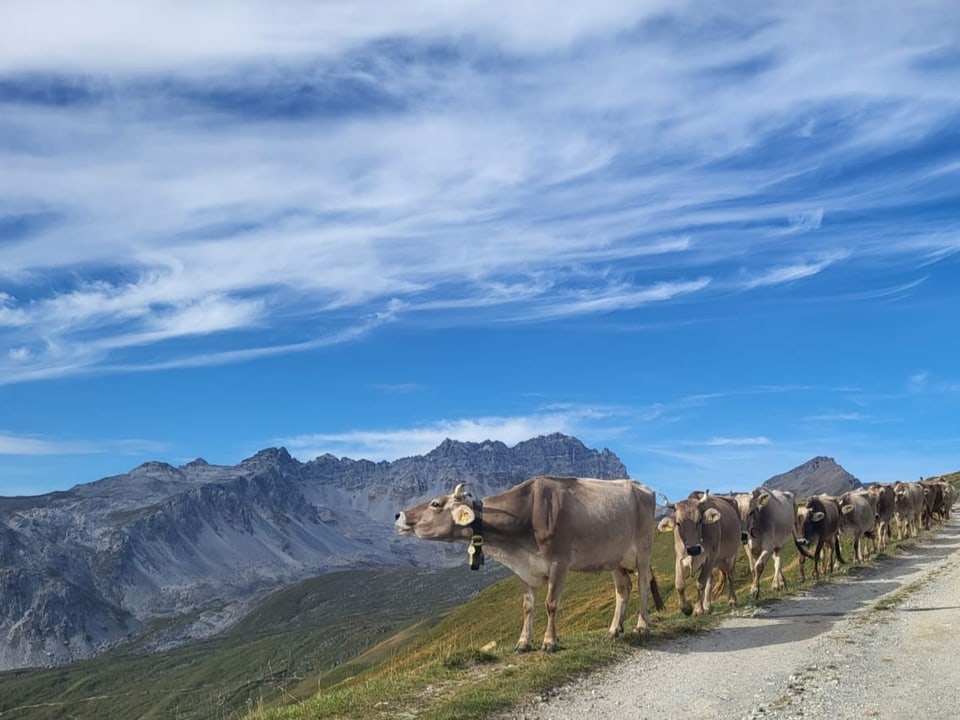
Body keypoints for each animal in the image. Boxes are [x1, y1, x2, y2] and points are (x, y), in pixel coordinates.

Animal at [394, 478, 664, 652]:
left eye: (435, 504)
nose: (399, 515)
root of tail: (641, 486)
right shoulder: (523, 569)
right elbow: (527, 606)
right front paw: (523, 643)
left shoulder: (559, 562)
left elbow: (551, 604)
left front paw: (549, 642)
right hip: (614, 558)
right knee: (623, 589)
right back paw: (613, 630)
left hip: (643, 549)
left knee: (642, 584)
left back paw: (642, 626)